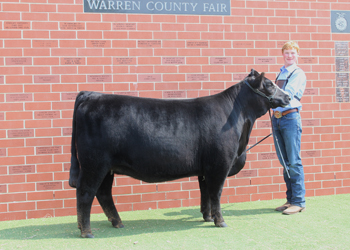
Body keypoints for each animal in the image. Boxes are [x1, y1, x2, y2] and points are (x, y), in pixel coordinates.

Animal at [69, 69, 290, 237]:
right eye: (269, 84)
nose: (288, 96)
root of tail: (91, 94)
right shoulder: (219, 164)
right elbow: (216, 193)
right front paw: (220, 221)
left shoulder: (205, 169)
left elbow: (205, 193)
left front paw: (207, 217)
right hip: (94, 164)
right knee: (85, 192)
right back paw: (86, 231)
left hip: (107, 168)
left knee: (103, 193)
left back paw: (116, 222)